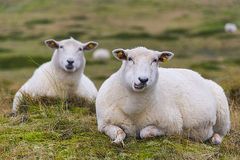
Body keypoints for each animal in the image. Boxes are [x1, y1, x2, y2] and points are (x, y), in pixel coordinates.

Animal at [95, 46, 231, 145]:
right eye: (129, 58)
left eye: (155, 60)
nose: (143, 79)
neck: (134, 109)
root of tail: (201, 76)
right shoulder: (103, 124)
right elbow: (119, 132)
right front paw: (117, 141)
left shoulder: (173, 125)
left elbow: (145, 132)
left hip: (223, 116)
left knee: (221, 133)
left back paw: (214, 139)